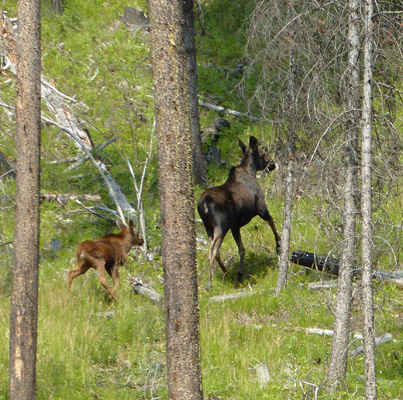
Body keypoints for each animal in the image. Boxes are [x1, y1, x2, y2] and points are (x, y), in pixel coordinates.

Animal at [198, 136, 280, 290]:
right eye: (262, 153)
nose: (272, 163)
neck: (251, 171)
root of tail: (203, 204)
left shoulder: (235, 226)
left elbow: (241, 248)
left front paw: (240, 273)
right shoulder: (261, 207)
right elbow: (272, 220)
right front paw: (279, 245)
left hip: (208, 227)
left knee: (216, 251)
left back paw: (227, 274)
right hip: (221, 226)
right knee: (213, 250)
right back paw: (210, 283)